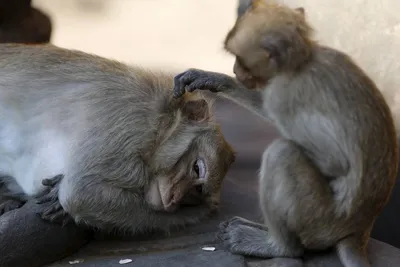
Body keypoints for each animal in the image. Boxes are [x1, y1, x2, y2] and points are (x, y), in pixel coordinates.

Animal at [0, 44, 236, 237]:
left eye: (196, 191)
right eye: (197, 168)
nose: (174, 200)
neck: (162, 127)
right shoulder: (129, 123)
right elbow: (81, 191)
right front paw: (200, 213)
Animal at [173, 0, 398, 267]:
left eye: (240, 59)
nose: (235, 69)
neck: (302, 60)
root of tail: (358, 230)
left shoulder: (282, 95)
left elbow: (334, 163)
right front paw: (214, 79)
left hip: (319, 219)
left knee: (282, 153)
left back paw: (280, 247)